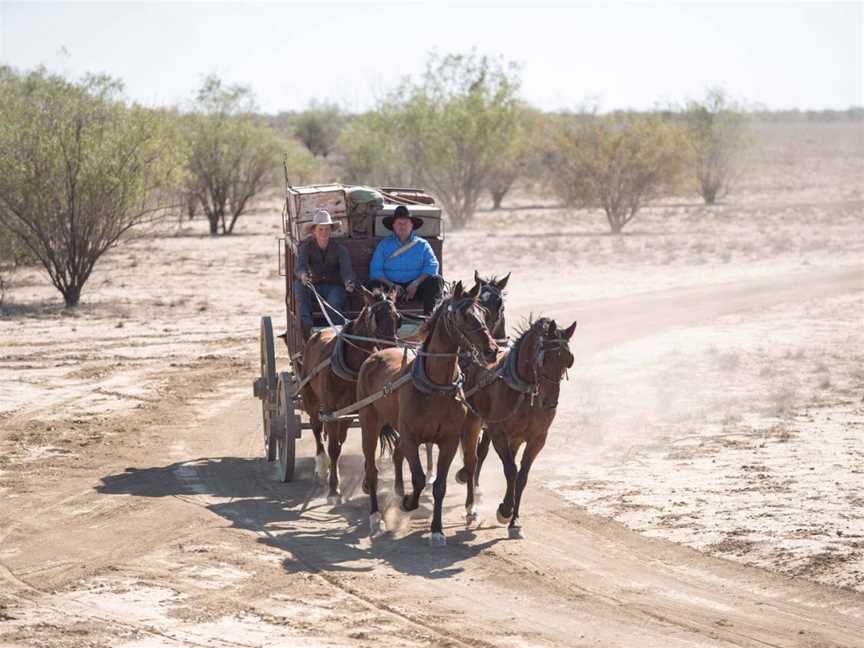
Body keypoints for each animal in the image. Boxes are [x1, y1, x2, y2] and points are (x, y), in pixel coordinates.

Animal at [298, 288, 400, 506]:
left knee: (339, 438)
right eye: (376, 317)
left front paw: (367, 482)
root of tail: (317, 333)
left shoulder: (360, 408)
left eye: (397, 317)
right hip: (311, 399)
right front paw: (333, 490)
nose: (391, 346)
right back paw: (322, 466)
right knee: (317, 429)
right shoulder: (330, 410)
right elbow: (333, 447)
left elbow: (362, 445)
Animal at [354, 280, 496, 544]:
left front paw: (437, 529)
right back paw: (375, 515)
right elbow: (419, 478)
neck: (435, 386)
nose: (492, 349)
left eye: (483, 313)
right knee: (372, 468)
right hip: (368, 423)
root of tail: (376, 354)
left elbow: (439, 485)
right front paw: (408, 502)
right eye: (463, 316)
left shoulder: (449, 440)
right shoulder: (411, 437)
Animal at [460, 318, 572, 536]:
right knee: (472, 459)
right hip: (473, 418)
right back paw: (470, 506)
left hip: (514, 437)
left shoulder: (537, 439)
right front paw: (505, 510)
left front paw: (514, 520)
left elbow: (522, 477)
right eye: (544, 359)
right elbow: (510, 471)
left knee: (483, 455)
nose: (549, 403)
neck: (524, 391)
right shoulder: (498, 433)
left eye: (568, 361)